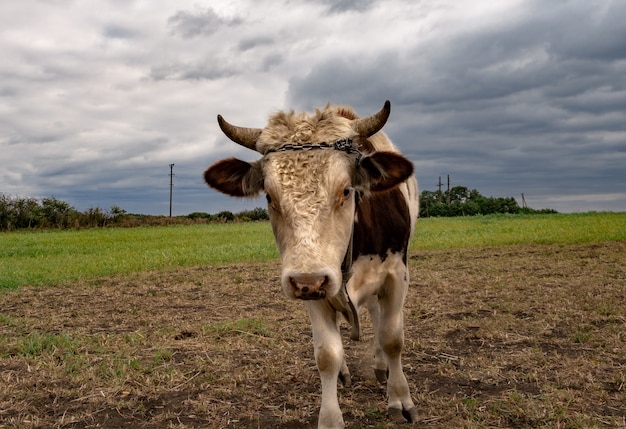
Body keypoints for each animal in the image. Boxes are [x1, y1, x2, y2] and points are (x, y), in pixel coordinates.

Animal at [205, 101, 416, 428]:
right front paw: (330, 417)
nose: (309, 281)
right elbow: (327, 355)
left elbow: (392, 338)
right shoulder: (313, 287)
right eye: (269, 195)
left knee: (378, 317)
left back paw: (382, 366)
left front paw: (400, 399)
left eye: (346, 190)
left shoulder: (395, 274)